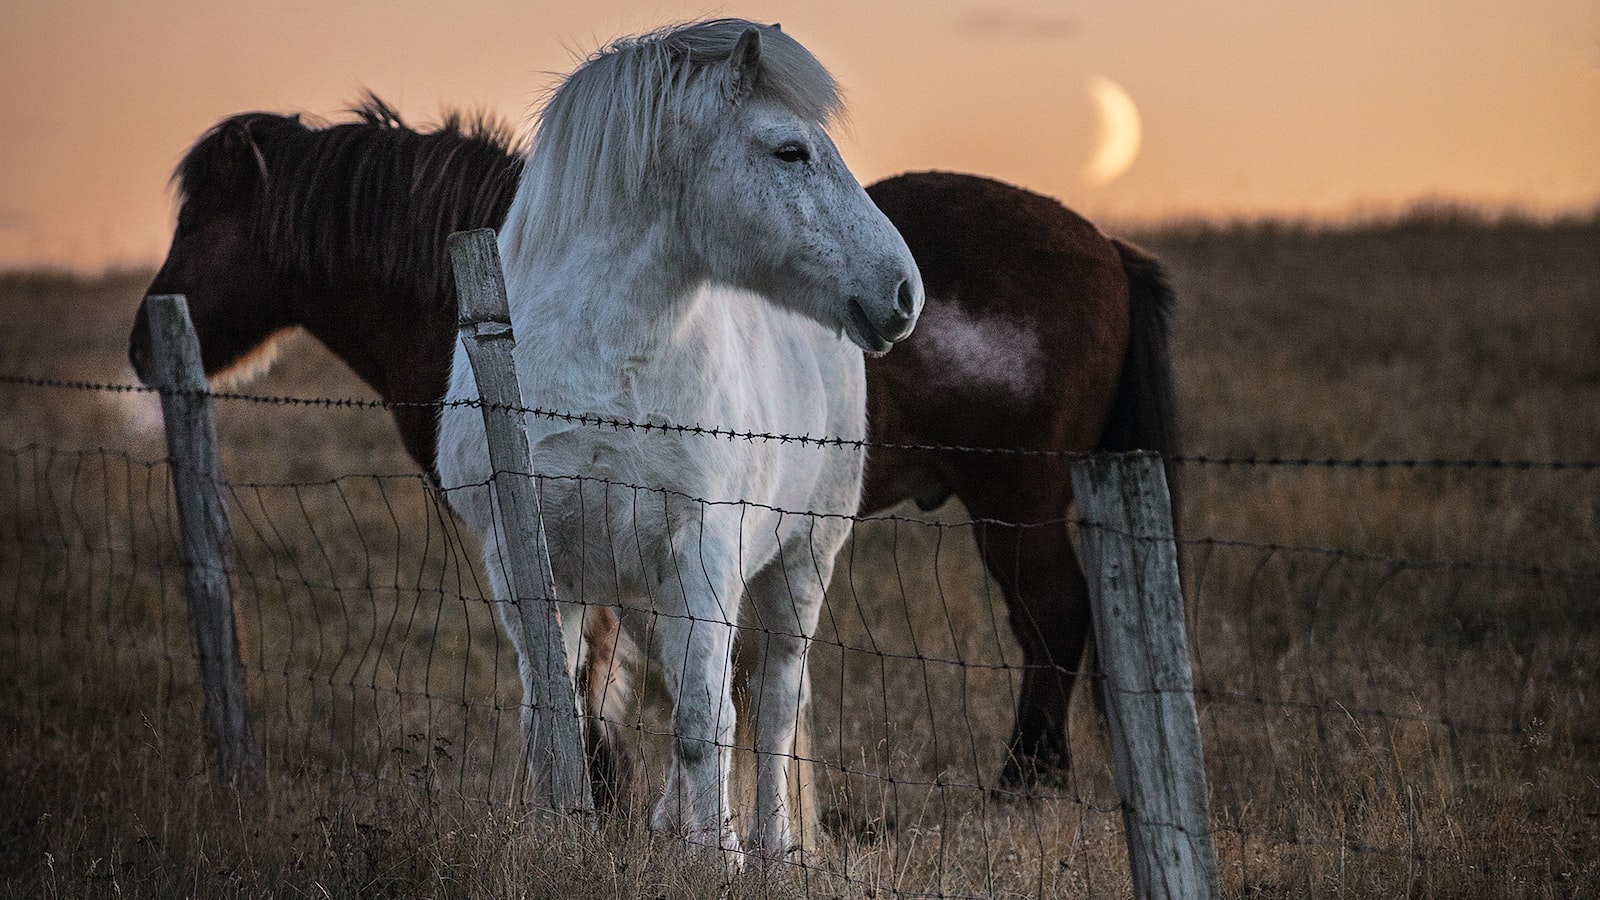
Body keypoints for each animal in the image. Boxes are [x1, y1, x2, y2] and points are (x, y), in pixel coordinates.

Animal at [131, 94, 1177, 787]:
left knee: (1054, 624)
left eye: (199, 218)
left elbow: (596, 678)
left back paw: (1025, 784)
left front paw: (605, 798)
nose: (142, 340)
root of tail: (1108, 249)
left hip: (1016, 508)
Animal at [438, 17, 928, 851]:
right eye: (789, 151)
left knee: (772, 705)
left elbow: (707, 721)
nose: (902, 292)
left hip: (800, 562)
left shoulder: (703, 548)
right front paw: (557, 838)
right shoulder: (525, 561)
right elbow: (552, 715)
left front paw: (715, 858)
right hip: (651, 591)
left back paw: (771, 846)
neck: (603, 370)